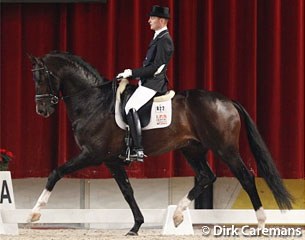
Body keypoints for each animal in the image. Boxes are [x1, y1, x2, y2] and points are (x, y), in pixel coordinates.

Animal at [29, 52, 292, 234]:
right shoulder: (112, 160)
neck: (94, 101)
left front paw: (34, 213)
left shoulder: (92, 154)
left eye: (41, 77)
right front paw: (136, 226)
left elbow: (56, 172)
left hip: (224, 149)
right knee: (206, 176)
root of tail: (228, 101)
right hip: (191, 149)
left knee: (245, 177)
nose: (41, 110)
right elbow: (127, 191)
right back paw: (177, 215)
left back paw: (261, 224)